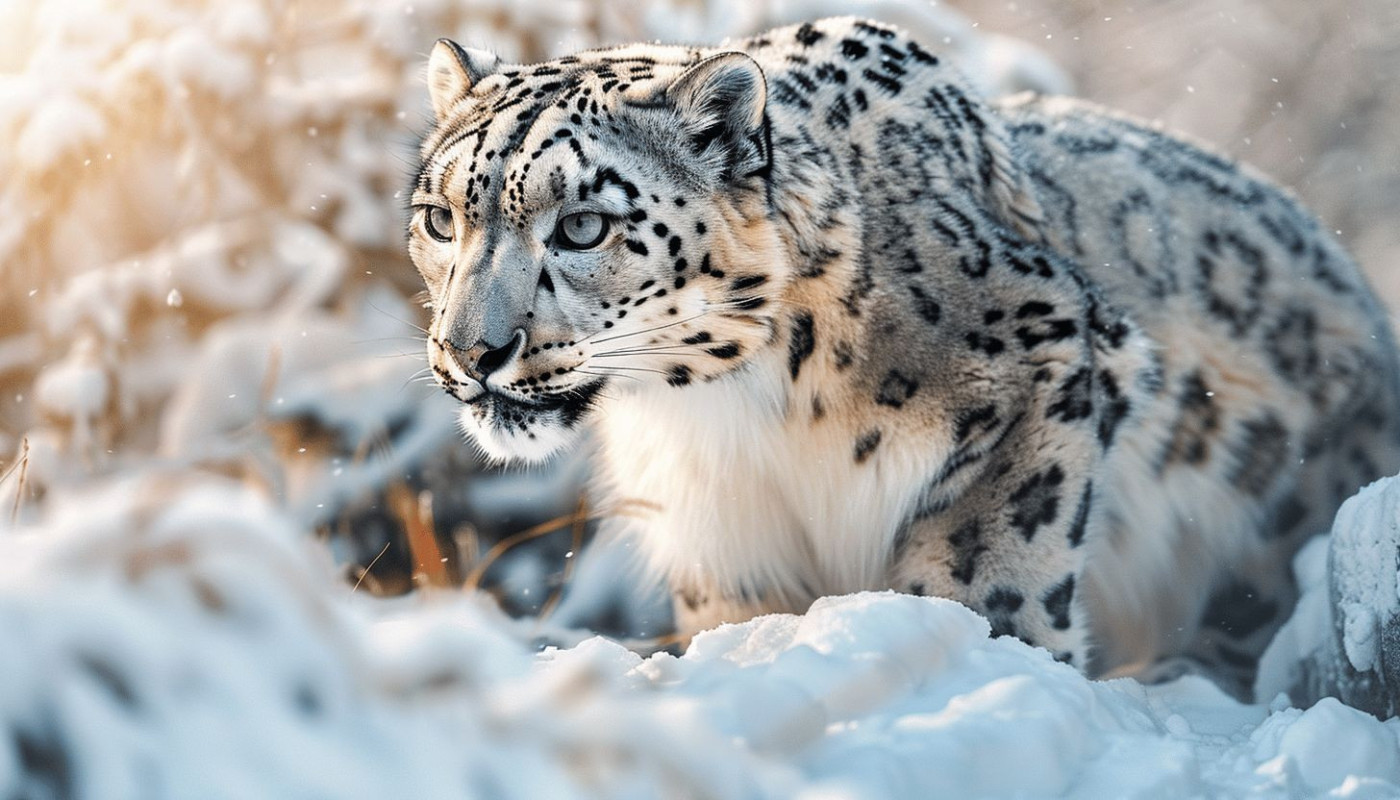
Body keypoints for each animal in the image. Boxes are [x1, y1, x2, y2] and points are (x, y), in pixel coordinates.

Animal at [407, 16, 1400, 694]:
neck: (727, 411)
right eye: (440, 218)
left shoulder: (1047, 359)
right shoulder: (725, 536)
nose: (473, 350)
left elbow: (986, 563)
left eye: (583, 225)